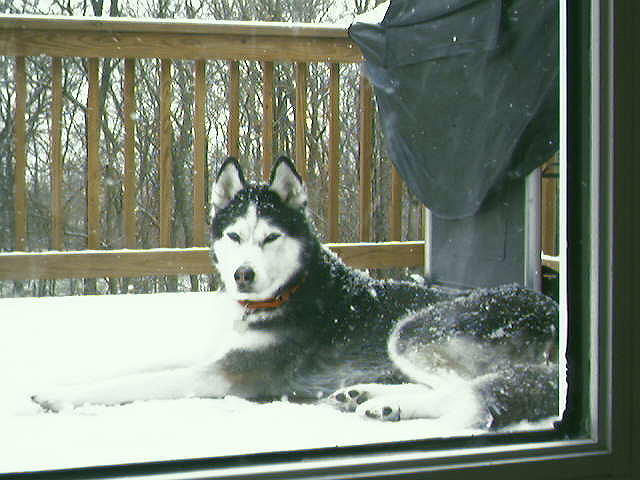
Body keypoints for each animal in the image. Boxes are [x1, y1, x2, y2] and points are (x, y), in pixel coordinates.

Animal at [32, 157, 556, 428]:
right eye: (234, 236)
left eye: (270, 238)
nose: (242, 275)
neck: (289, 292)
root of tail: (551, 309)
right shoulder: (218, 352)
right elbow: (136, 366)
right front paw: (56, 380)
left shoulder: (228, 373)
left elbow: (139, 383)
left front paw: (58, 398)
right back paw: (367, 394)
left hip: (414, 330)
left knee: (468, 389)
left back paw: (390, 403)